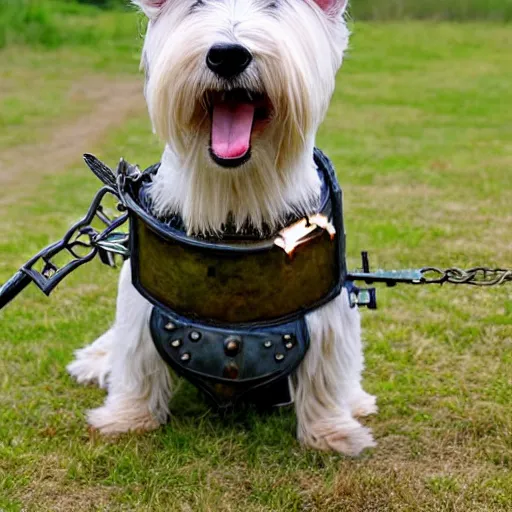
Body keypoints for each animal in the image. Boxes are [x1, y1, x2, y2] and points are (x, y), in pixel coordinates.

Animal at [67, 0, 376, 456]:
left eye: (275, 5)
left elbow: (324, 374)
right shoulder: (141, 302)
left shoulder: (328, 308)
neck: (235, 198)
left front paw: (330, 432)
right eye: (195, 5)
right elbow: (137, 362)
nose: (227, 55)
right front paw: (127, 418)